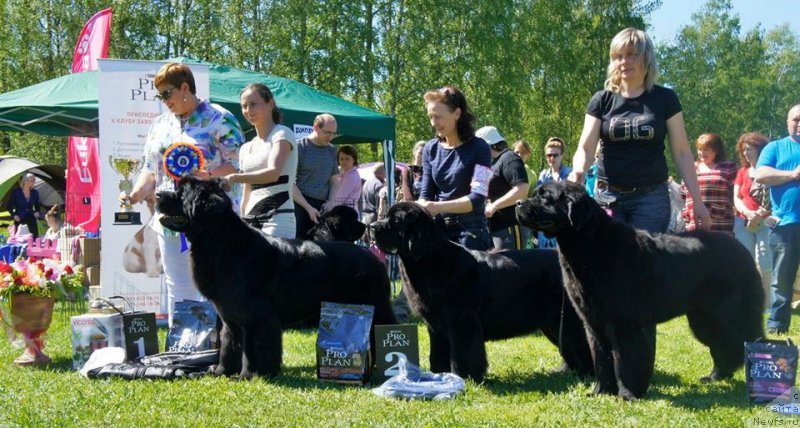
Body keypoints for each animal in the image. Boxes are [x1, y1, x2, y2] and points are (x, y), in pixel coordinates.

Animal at [156, 177, 396, 378]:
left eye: (181, 194)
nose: (158, 194)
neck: (221, 244)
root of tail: (375, 259)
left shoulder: (254, 315)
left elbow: (252, 347)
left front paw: (249, 375)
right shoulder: (229, 315)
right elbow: (228, 344)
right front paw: (220, 372)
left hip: (376, 308)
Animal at [372, 202, 592, 382]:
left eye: (394, 220)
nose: (372, 226)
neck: (430, 260)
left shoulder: (462, 320)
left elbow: (463, 353)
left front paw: (462, 377)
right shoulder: (434, 324)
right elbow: (437, 354)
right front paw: (438, 376)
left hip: (568, 318)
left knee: (583, 343)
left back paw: (586, 374)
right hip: (553, 324)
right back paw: (565, 371)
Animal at [516, 182, 764, 400]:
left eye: (545, 197)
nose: (518, 203)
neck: (591, 246)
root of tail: (742, 249)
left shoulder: (624, 323)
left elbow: (625, 359)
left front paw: (628, 394)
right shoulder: (594, 323)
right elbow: (601, 359)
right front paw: (600, 392)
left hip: (731, 313)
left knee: (744, 340)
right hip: (703, 318)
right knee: (722, 345)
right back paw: (715, 377)